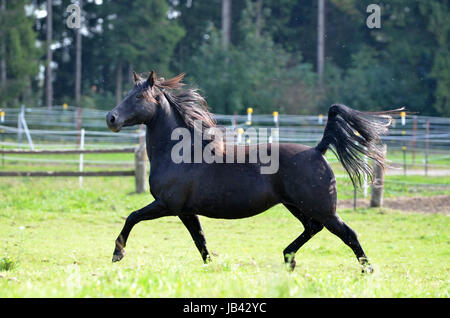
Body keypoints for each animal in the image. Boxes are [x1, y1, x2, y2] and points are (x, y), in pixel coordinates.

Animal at [106, 71, 400, 272]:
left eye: (138, 96)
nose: (111, 118)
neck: (178, 153)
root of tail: (318, 150)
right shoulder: (186, 211)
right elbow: (200, 240)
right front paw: (211, 268)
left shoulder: (167, 205)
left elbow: (132, 217)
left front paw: (117, 255)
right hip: (296, 205)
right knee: (313, 228)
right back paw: (288, 258)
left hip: (322, 209)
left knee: (348, 234)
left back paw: (367, 270)